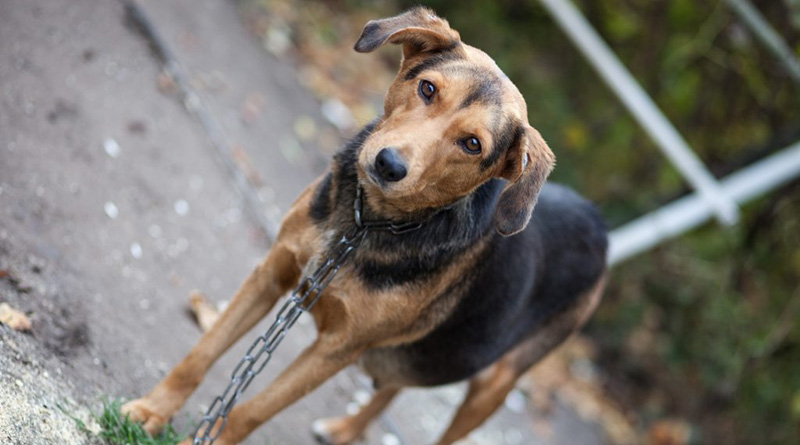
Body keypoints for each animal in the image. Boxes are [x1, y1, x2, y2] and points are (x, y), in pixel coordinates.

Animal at [122, 7, 608, 444]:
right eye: (427, 88)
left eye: (473, 144)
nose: (388, 164)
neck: (364, 225)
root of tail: (598, 219)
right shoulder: (272, 273)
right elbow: (200, 355)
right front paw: (152, 411)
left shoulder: (336, 350)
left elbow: (249, 412)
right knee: (391, 386)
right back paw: (345, 430)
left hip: (492, 383)